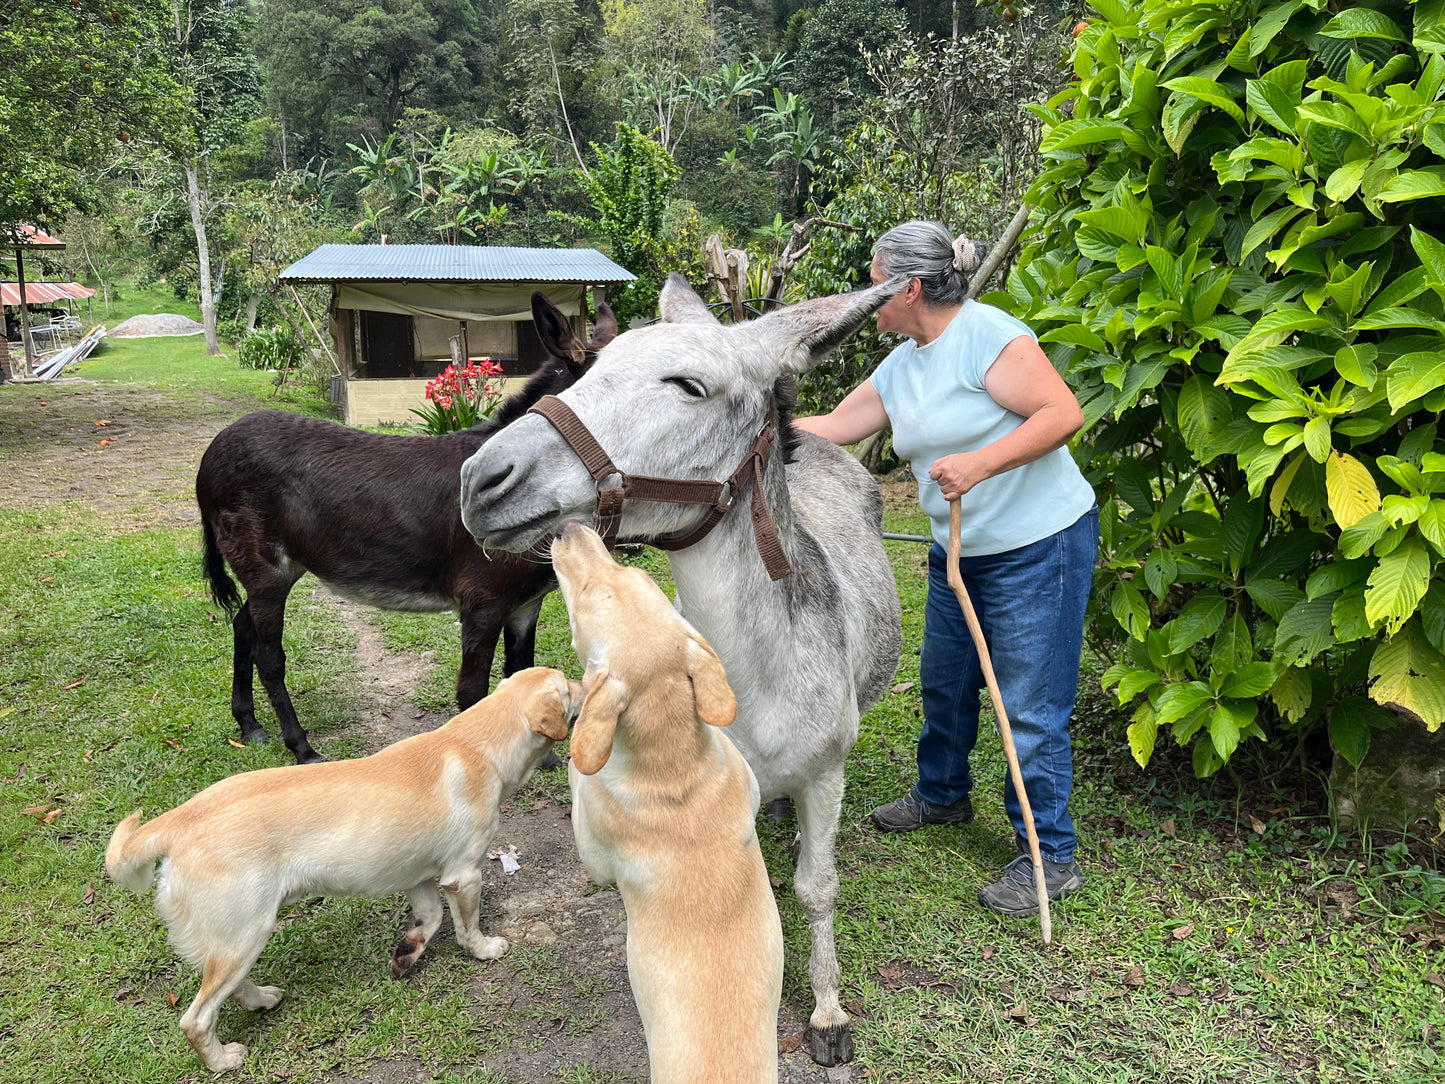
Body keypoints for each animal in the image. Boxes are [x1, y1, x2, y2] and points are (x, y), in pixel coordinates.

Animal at [104, 667, 578, 1075]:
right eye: (567, 685)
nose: (587, 677)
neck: (476, 744)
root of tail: (180, 819)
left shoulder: (421, 876)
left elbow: (430, 919)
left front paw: (407, 952)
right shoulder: (464, 876)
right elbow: (466, 927)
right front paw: (485, 949)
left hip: (232, 939)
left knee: (229, 987)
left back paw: (262, 999)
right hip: (247, 932)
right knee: (196, 1018)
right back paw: (223, 1060)